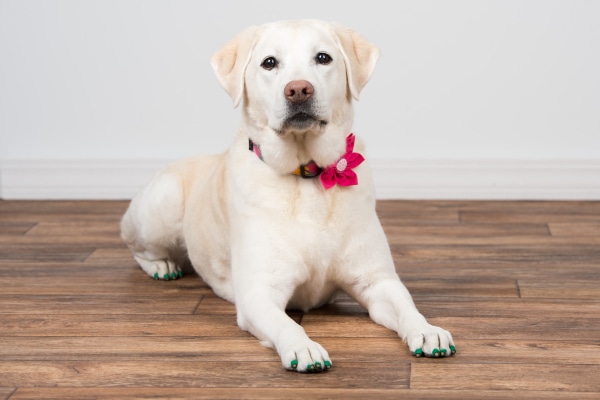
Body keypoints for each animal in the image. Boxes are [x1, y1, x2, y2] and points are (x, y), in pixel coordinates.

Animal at [123, 19, 460, 372]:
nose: (299, 90)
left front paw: (426, 330)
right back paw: (162, 266)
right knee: (136, 245)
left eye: (323, 57)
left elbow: (407, 306)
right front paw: (304, 347)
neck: (307, 175)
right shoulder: (259, 294)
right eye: (269, 62)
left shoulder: (377, 281)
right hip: (163, 205)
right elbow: (288, 324)